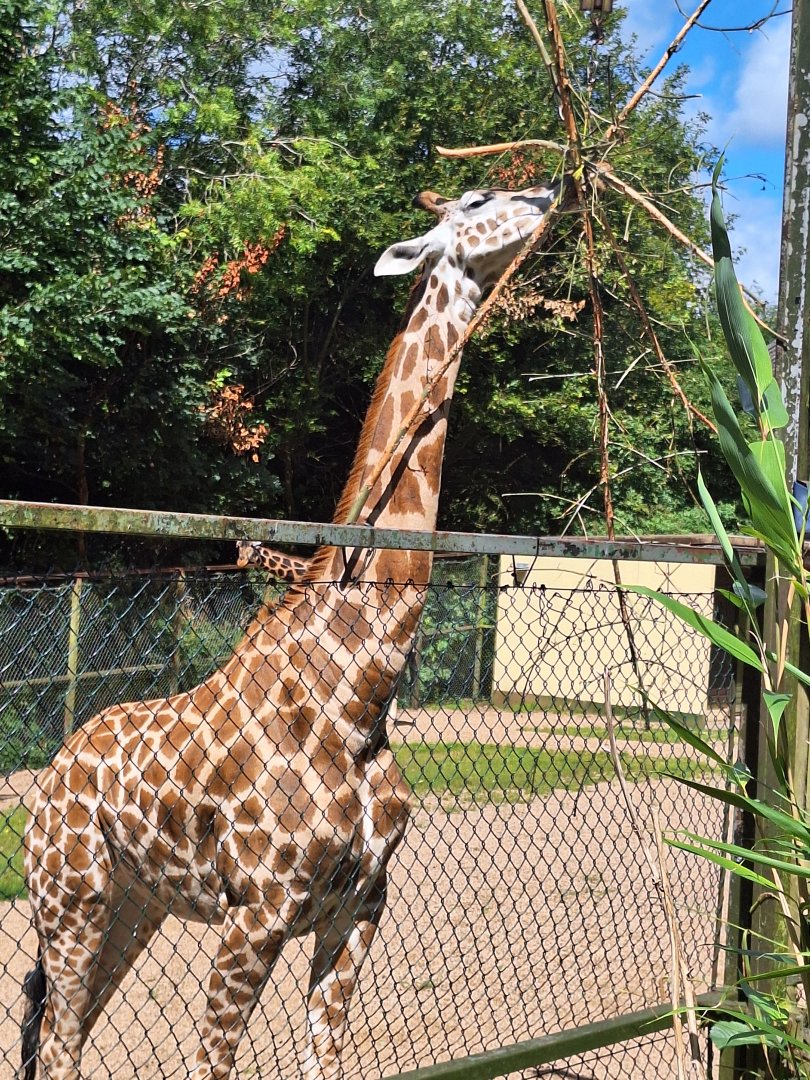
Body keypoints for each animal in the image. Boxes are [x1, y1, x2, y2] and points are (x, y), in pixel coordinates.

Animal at [21, 180, 561, 1080]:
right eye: (477, 198)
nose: (548, 191)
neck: (359, 694)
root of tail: (52, 773)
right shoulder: (258, 912)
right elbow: (212, 1064)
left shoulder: (359, 908)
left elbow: (326, 1060)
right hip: (72, 898)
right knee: (59, 1043)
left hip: (135, 904)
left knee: (64, 1034)